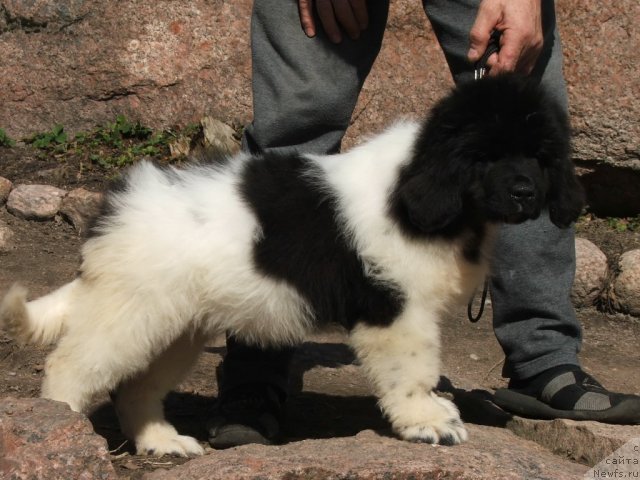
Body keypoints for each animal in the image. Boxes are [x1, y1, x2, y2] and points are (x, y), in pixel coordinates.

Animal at [0, 74, 584, 454]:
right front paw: (427, 422)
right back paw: (61, 428)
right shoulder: (396, 310)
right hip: (128, 312)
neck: (423, 183)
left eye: (540, 156)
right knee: (70, 369)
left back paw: (163, 443)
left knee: (137, 387)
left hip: (173, 325)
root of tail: (113, 215)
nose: (526, 193)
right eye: (484, 157)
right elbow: (414, 370)